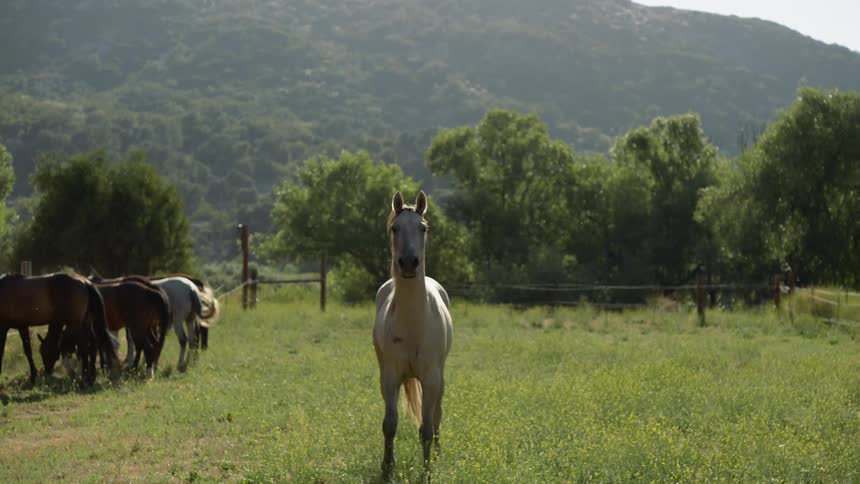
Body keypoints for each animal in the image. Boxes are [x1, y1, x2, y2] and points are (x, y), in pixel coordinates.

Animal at [373, 191, 453, 478]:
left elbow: (427, 428)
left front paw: (428, 472)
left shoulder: (430, 378)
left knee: (438, 414)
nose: (408, 263)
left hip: (439, 378)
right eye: (395, 228)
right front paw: (387, 469)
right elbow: (389, 424)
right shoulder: (390, 377)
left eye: (423, 228)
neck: (413, 323)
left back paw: (438, 454)